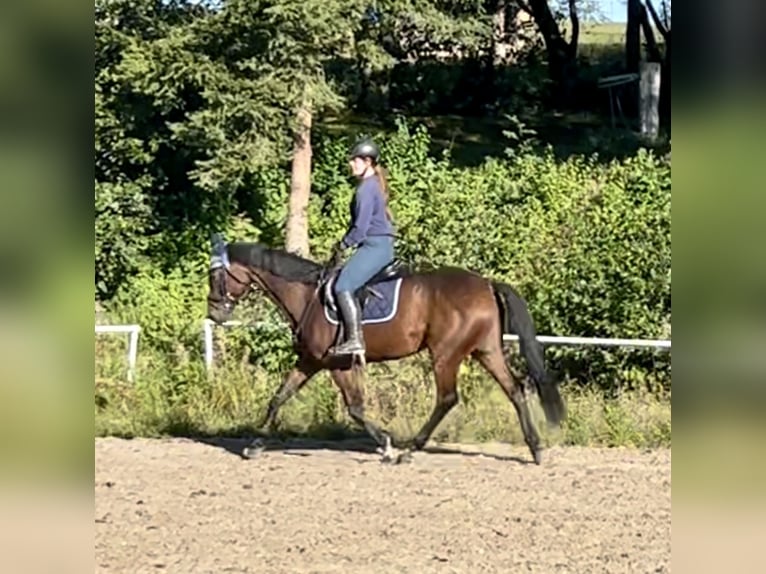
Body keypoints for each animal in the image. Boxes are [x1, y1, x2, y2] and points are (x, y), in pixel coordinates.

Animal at [207, 236, 568, 466]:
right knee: (515, 389)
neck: (306, 295)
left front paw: (387, 445)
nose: (214, 313)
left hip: (446, 354)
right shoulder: (311, 360)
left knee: (447, 399)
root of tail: (486, 284)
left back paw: (410, 450)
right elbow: (279, 397)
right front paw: (255, 445)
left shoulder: (335, 363)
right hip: (486, 350)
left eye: (216, 276)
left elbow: (355, 408)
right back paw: (536, 449)